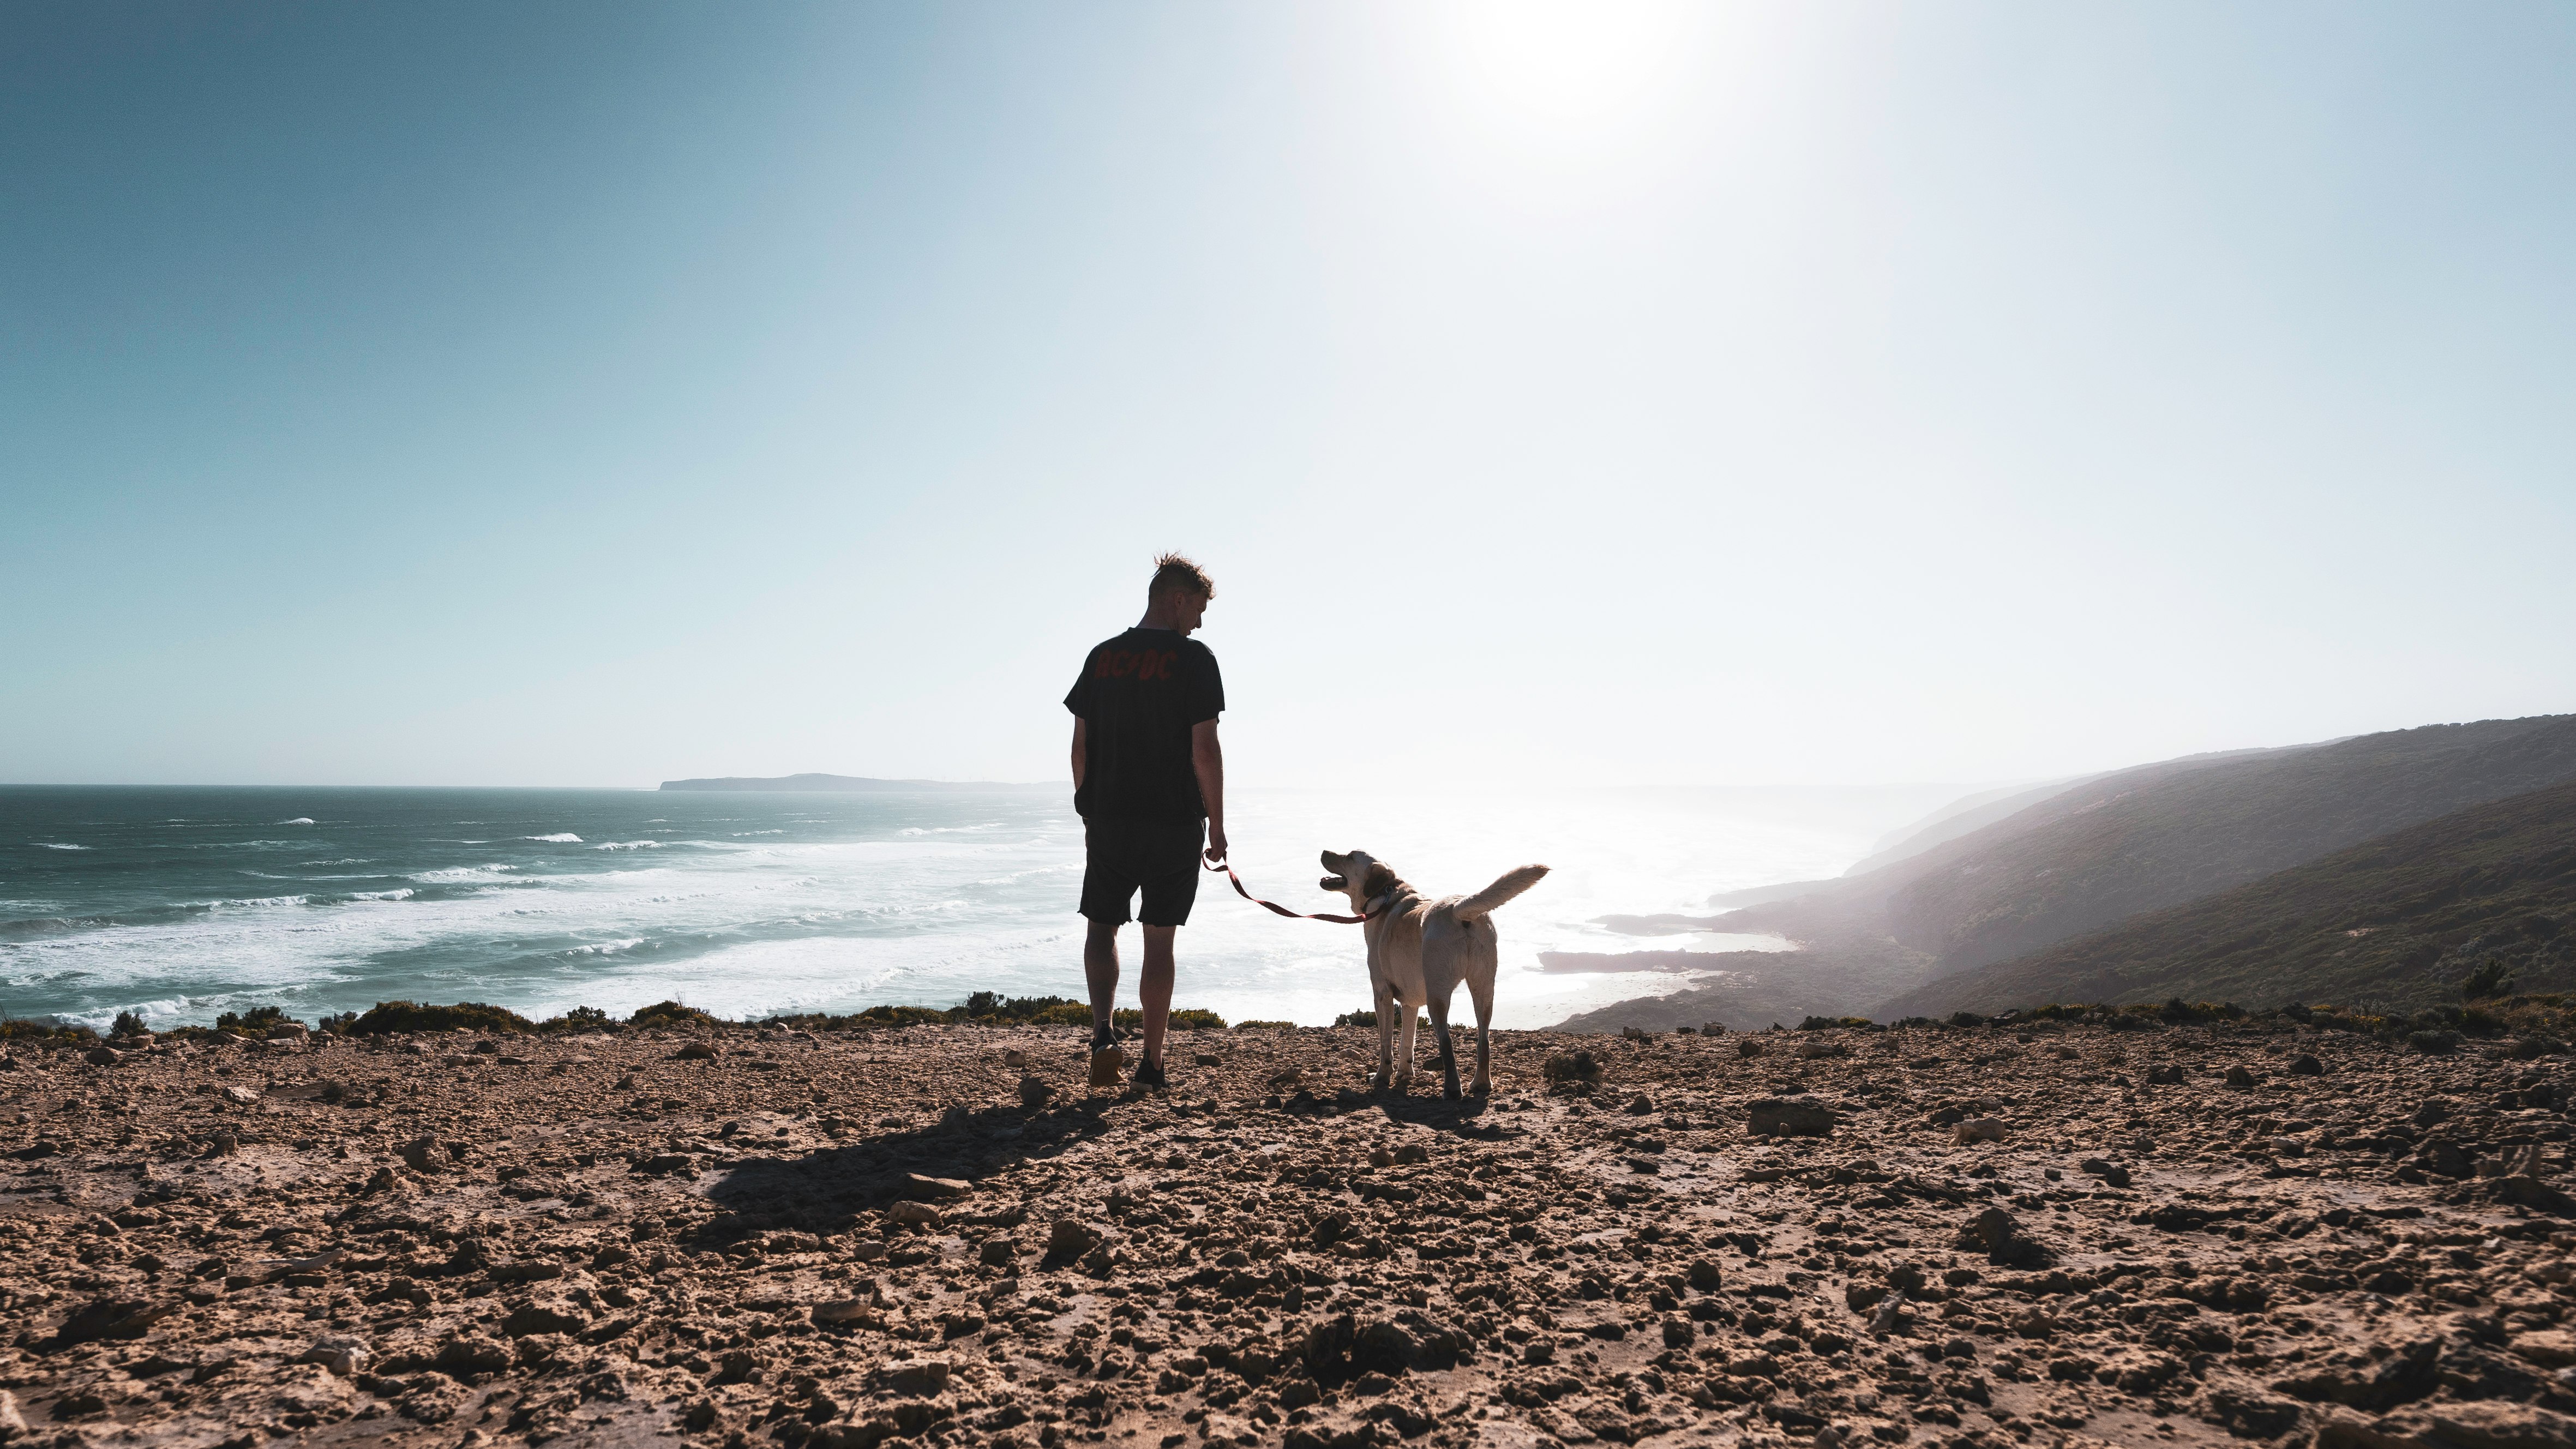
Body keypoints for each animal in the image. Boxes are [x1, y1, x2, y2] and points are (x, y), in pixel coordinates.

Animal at [1319, 849, 1535, 1101]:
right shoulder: (1410, 1003)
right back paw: (1481, 1084)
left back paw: (1452, 1089)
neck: (1385, 895)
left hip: (1437, 995)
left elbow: (1386, 1043)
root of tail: (1458, 908)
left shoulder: (1382, 994)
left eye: (1351, 856)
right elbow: (1407, 1041)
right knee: (1484, 1040)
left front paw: (1381, 1077)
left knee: (1447, 1043)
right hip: (1484, 990)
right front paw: (1404, 1072)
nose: (1324, 852)